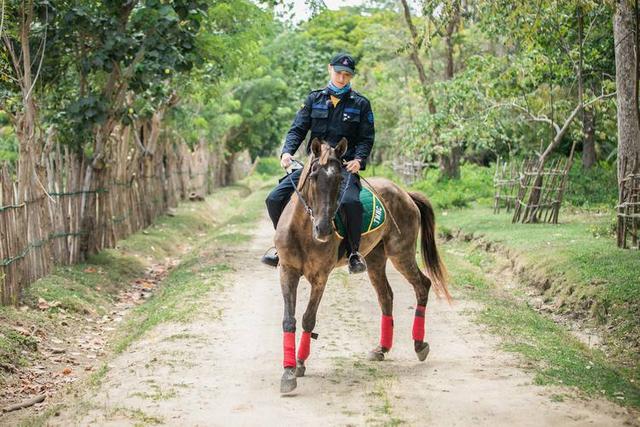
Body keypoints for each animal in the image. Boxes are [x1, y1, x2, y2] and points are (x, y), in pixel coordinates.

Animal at [276, 139, 450, 392]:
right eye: (314, 176)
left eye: (340, 179)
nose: (324, 230)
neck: (304, 230)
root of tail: (404, 192)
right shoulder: (287, 271)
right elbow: (289, 320)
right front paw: (288, 372)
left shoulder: (320, 277)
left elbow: (309, 318)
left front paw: (299, 363)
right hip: (376, 259)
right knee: (386, 296)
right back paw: (382, 349)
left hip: (401, 254)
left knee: (422, 285)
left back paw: (419, 344)